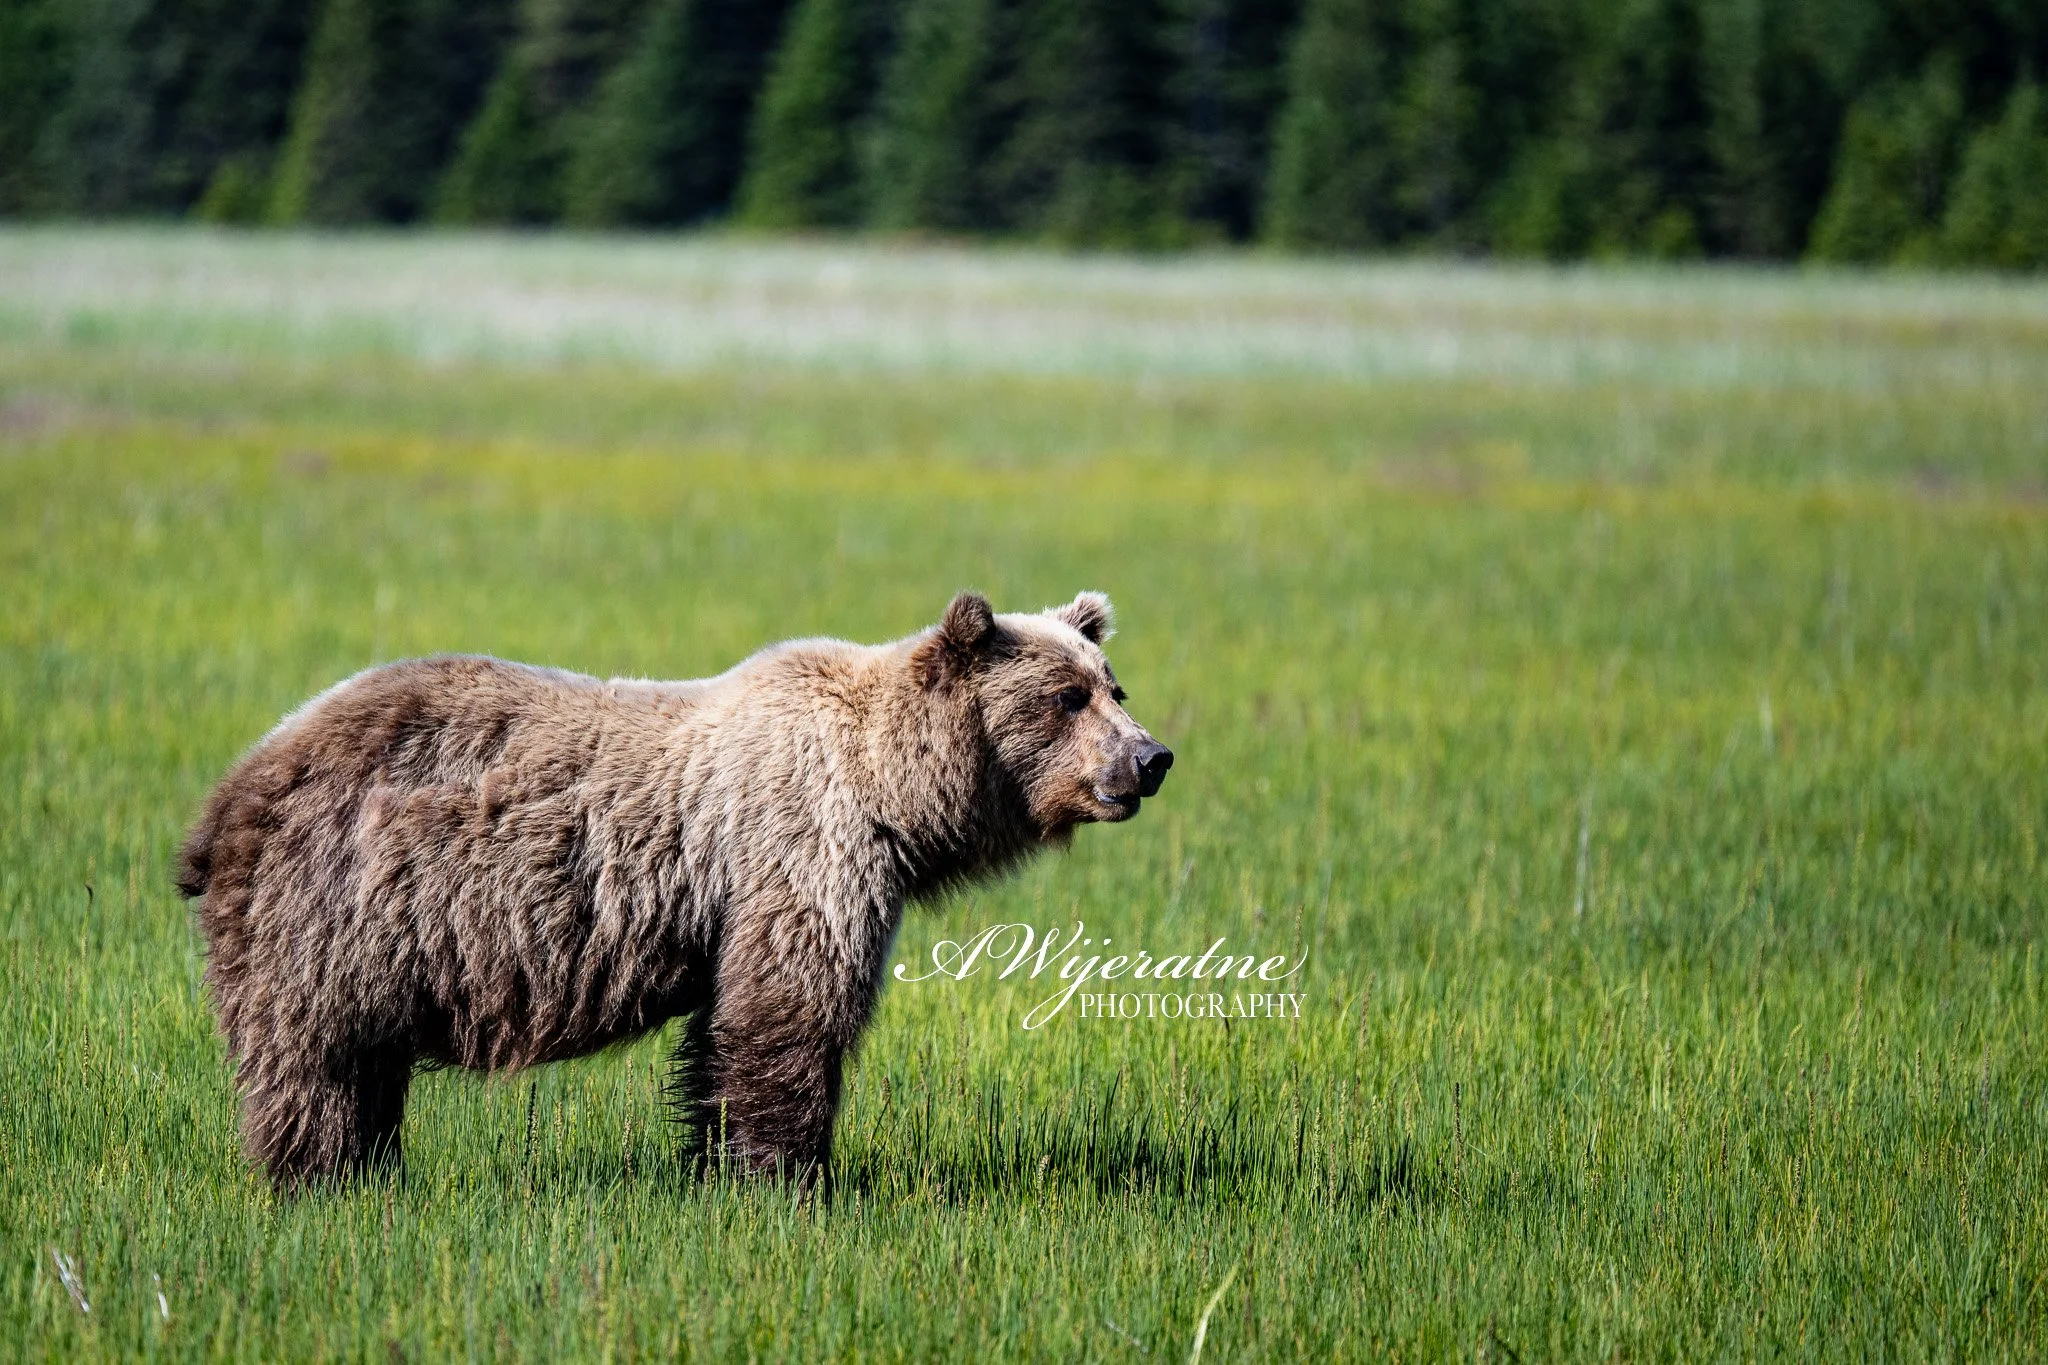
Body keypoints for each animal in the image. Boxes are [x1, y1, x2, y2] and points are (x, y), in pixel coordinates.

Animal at [175, 591, 1172, 1189]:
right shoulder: (801, 849)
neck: (894, 794)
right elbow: (785, 1015)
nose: (1150, 757)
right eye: (1065, 697)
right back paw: (319, 1174)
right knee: (319, 1056)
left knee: (363, 1060)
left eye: (1113, 685)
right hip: (339, 901)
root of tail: (227, 794)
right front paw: (783, 1177)